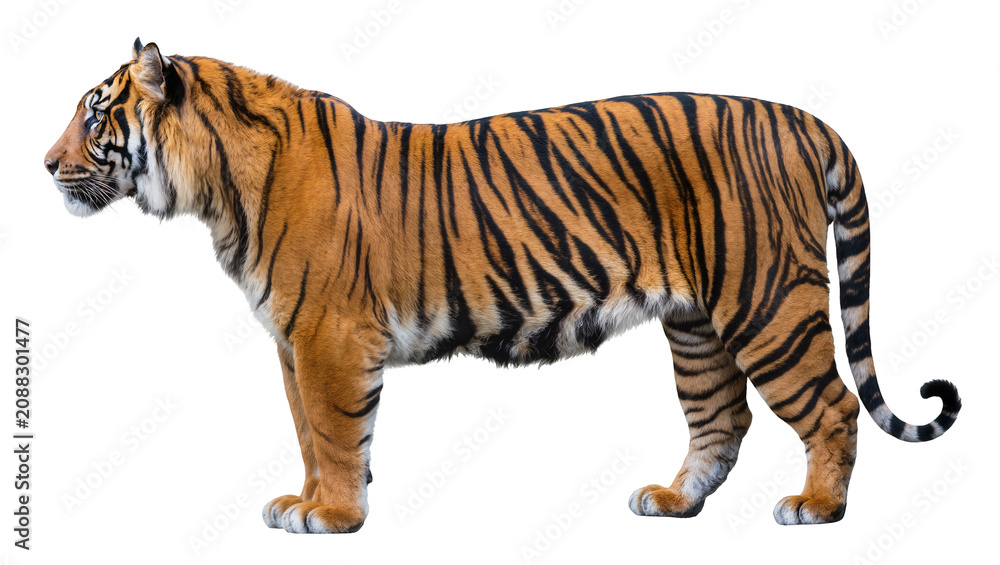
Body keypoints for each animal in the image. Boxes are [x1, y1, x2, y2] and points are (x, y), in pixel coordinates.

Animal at [44, 39, 961, 533]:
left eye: (95, 114)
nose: (46, 165)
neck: (213, 191)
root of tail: (806, 119)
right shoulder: (291, 342)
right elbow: (308, 431)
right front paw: (303, 502)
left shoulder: (328, 336)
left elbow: (336, 432)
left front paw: (332, 516)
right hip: (697, 321)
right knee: (720, 418)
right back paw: (672, 500)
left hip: (766, 300)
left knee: (833, 405)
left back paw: (816, 507)